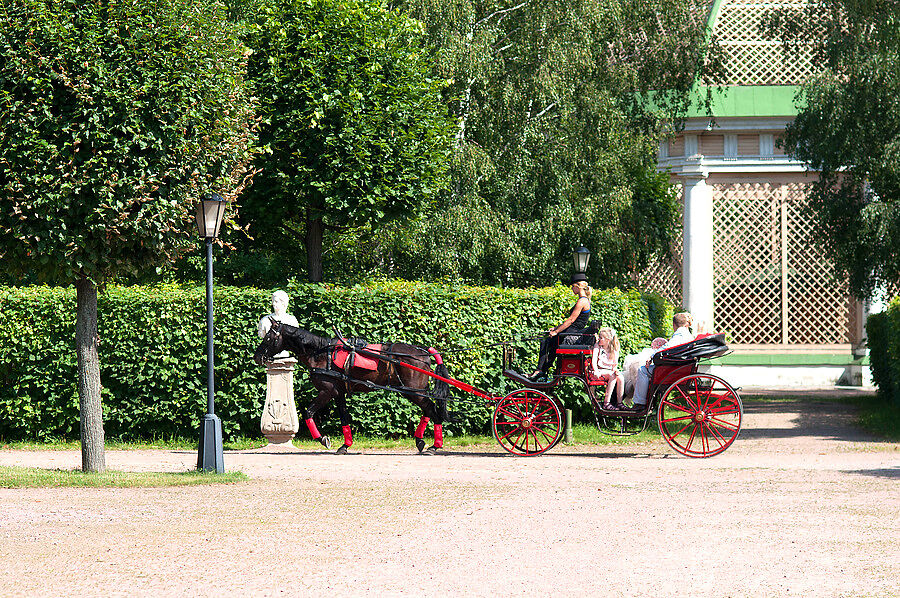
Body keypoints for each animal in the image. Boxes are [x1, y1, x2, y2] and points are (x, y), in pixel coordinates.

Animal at [251, 324, 450, 454]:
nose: (257, 356)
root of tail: (423, 352)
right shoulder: (339, 394)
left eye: (268, 337)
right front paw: (345, 445)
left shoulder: (327, 392)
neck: (322, 354)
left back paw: (435, 445)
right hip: (415, 391)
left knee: (432, 410)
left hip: (414, 391)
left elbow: (307, 412)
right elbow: (344, 418)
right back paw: (421, 440)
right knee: (429, 409)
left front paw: (323, 439)